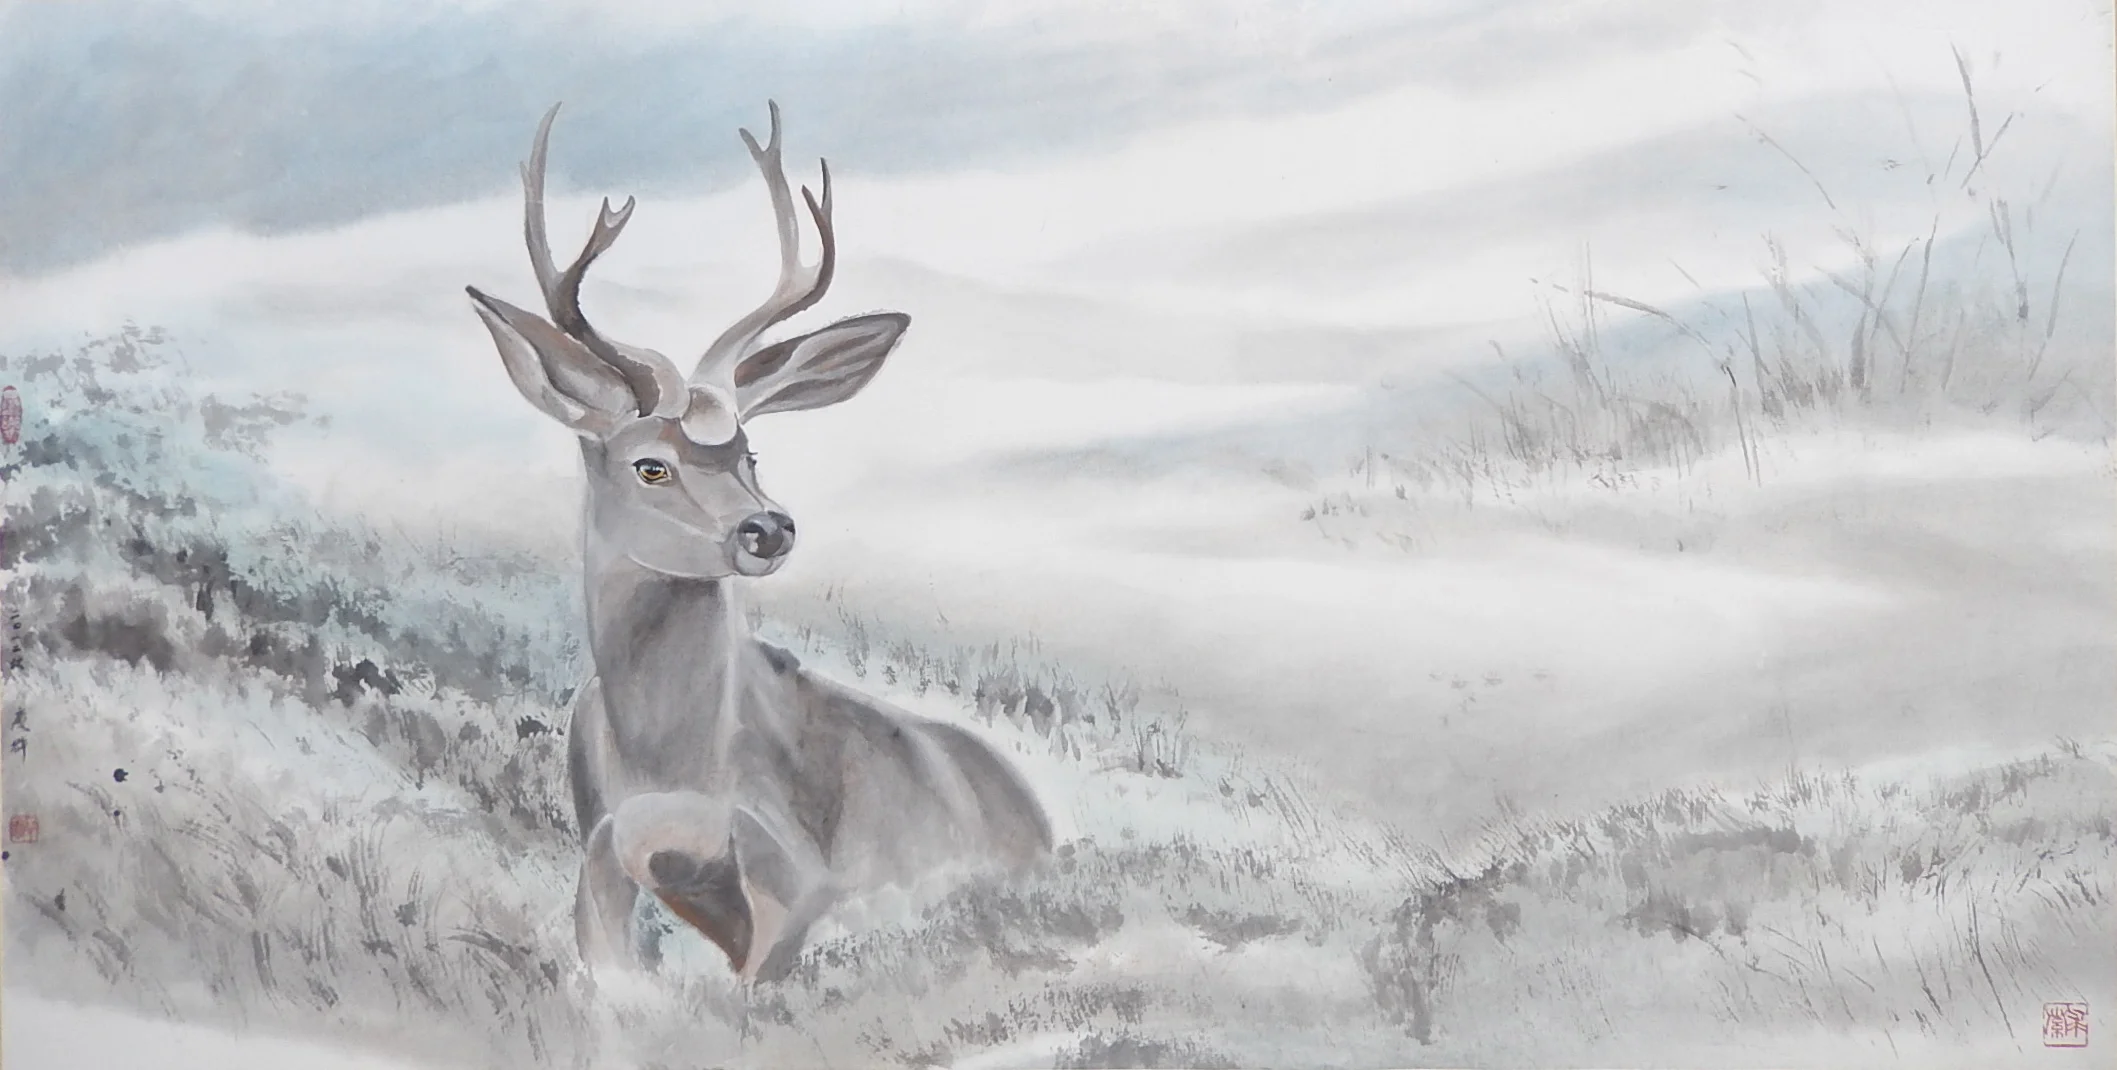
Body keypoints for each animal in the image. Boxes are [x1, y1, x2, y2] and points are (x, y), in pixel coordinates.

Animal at [464, 102, 1054, 985]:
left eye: (750, 452)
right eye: (651, 465)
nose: (768, 526)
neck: (672, 763)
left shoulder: (799, 873)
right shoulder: (600, 846)